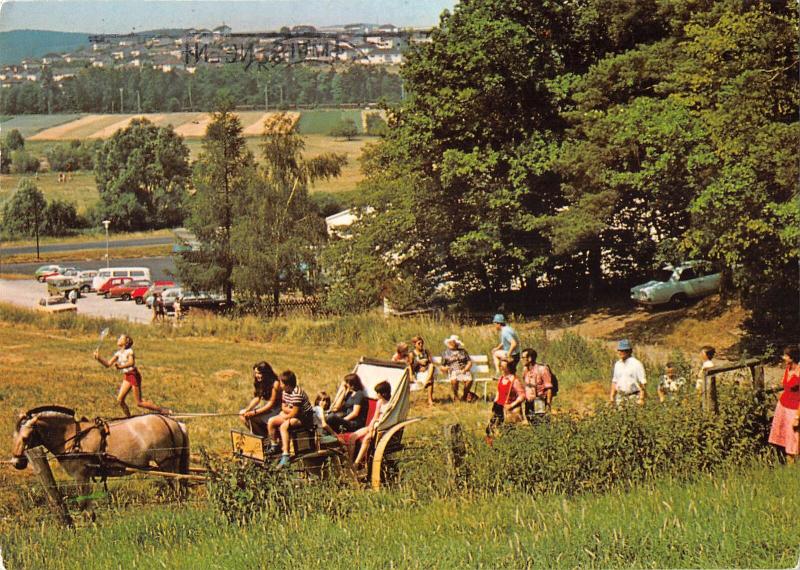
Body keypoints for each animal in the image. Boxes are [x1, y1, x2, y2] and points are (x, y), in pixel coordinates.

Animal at [11, 406, 190, 504]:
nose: (16, 462)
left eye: (26, 437)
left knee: (178, 486)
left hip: (167, 463)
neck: (74, 437)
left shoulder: (81, 476)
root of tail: (174, 423)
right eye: (14, 436)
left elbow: (85, 505)